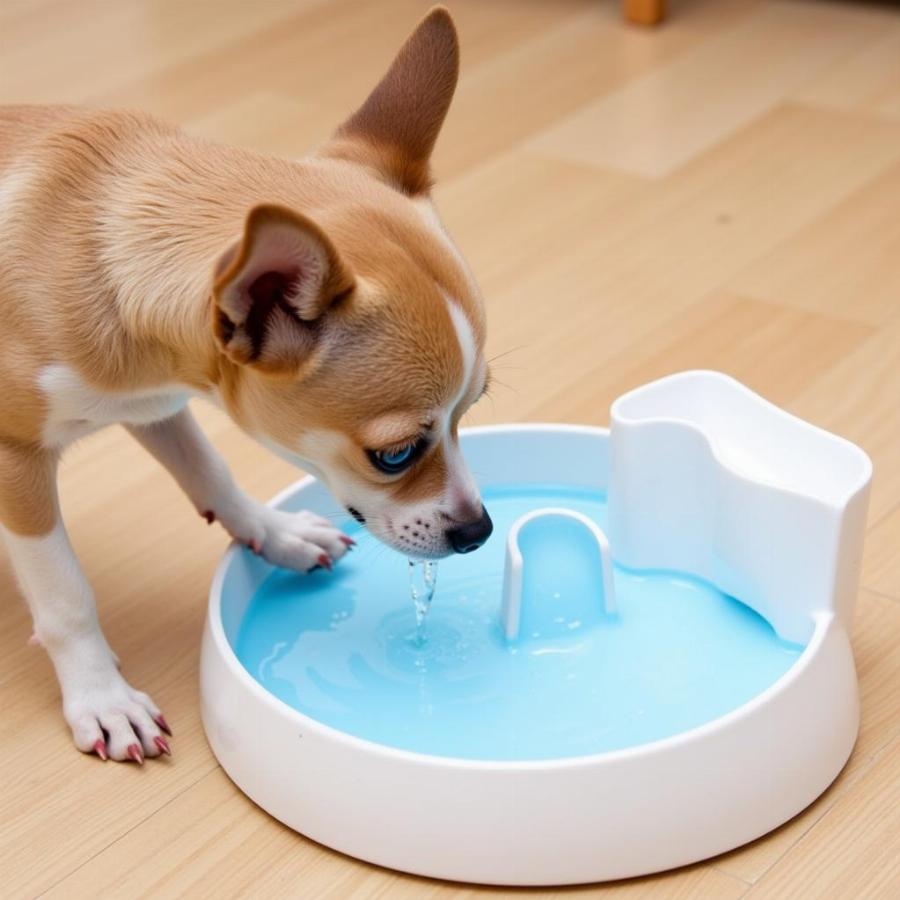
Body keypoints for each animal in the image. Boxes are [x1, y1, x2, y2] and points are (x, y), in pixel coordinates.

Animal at [0, 7, 492, 768]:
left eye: (474, 409)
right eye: (395, 455)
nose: (479, 530)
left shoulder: (153, 404)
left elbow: (210, 469)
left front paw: (273, 531)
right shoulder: (17, 459)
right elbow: (64, 591)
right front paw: (101, 695)